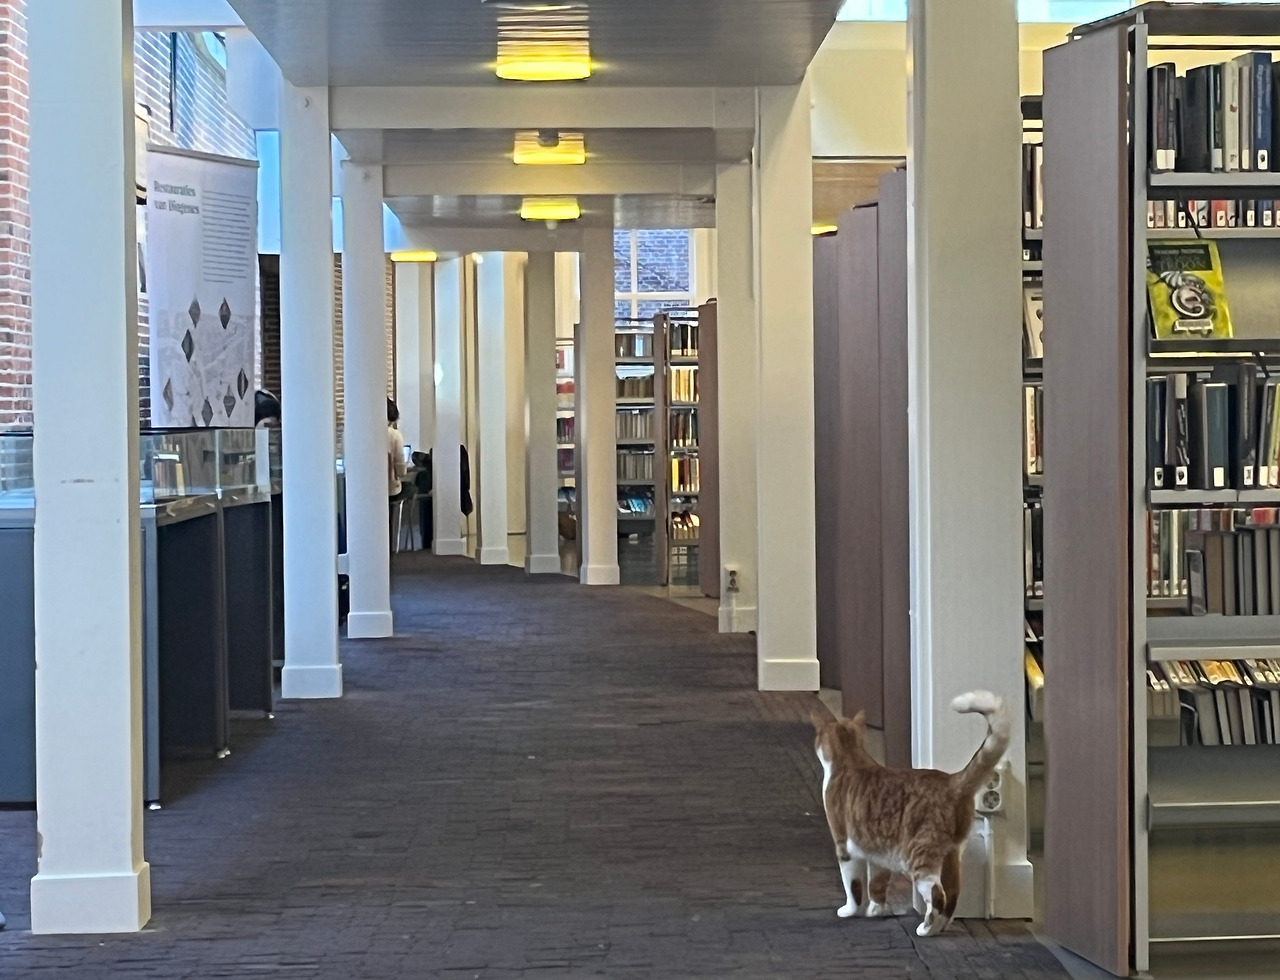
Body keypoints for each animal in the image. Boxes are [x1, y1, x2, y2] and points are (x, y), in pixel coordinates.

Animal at [812, 690, 1010, 937]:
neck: (851, 761)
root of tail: (952, 781)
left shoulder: (844, 847)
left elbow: (854, 888)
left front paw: (849, 911)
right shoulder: (878, 853)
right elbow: (877, 885)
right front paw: (876, 911)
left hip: (919, 857)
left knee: (937, 895)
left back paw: (925, 929)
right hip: (952, 855)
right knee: (953, 895)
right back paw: (939, 928)